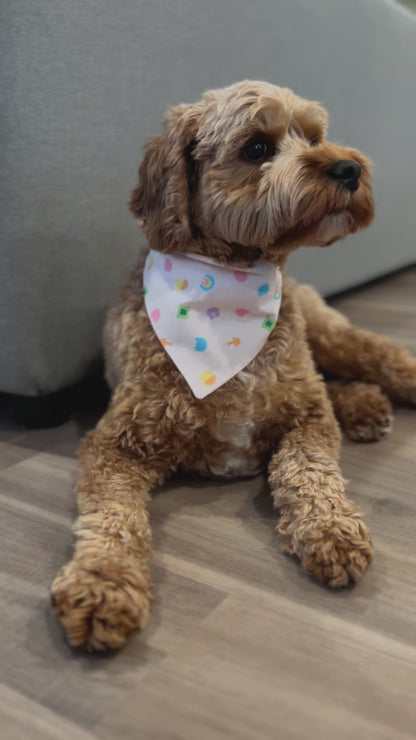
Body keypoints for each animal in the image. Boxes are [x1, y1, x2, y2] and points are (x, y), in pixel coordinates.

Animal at [49, 79, 416, 648]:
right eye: (257, 148)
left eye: (314, 136)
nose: (348, 168)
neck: (228, 297)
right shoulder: (114, 445)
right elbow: (111, 518)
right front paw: (102, 585)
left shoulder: (306, 415)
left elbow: (310, 470)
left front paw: (330, 529)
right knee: (337, 383)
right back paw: (364, 406)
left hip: (324, 334)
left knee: (379, 355)